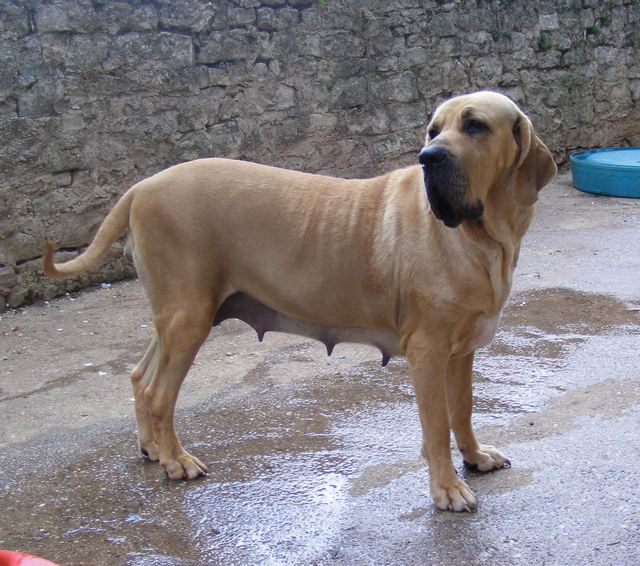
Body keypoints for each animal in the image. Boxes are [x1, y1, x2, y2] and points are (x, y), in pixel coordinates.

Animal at [44, 91, 556, 511]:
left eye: (476, 126)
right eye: (434, 130)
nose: (428, 157)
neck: (481, 237)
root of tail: (140, 187)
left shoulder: (460, 350)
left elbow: (462, 410)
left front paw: (474, 456)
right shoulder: (428, 352)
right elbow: (435, 428)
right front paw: (447, 488)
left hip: (177, 318)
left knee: (139, 375)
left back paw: (152, 448)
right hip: (188, 318)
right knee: (157, 393)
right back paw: (175, 460)